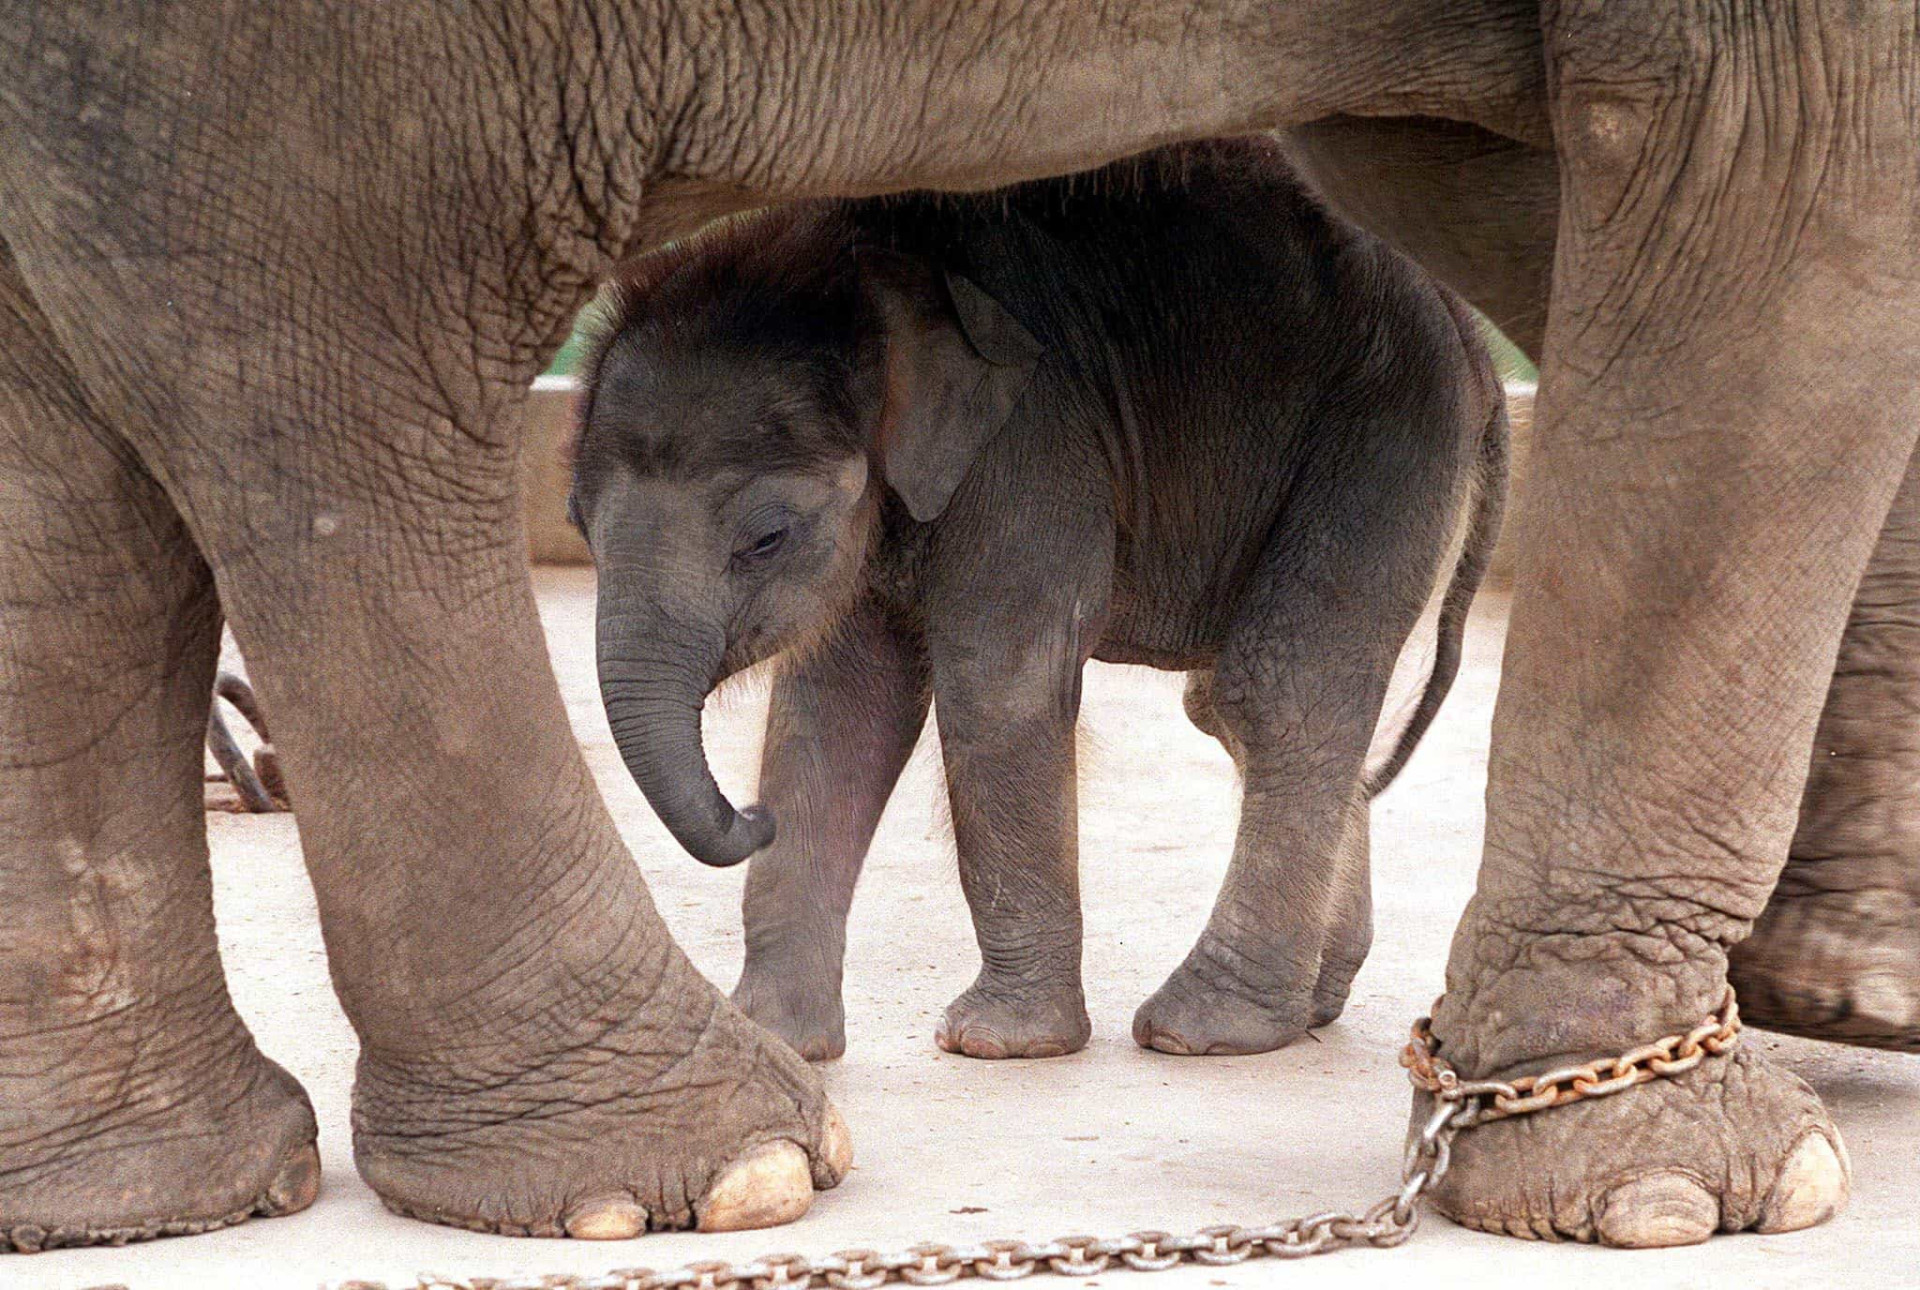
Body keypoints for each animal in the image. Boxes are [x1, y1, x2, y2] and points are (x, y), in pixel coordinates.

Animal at [568, 133, 1497, 1059]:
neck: (859, 275)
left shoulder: (1033, 446)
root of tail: (1467, 327)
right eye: (577, 521)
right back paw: (1311, 1007)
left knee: (1273, 694)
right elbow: (837, 703)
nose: (748, 813)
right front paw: (776, 1041)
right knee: (1243, 708)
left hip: (1382, 435)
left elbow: (993, 687)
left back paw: (1199, 1031)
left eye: (765, 538)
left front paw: (995, 1043)